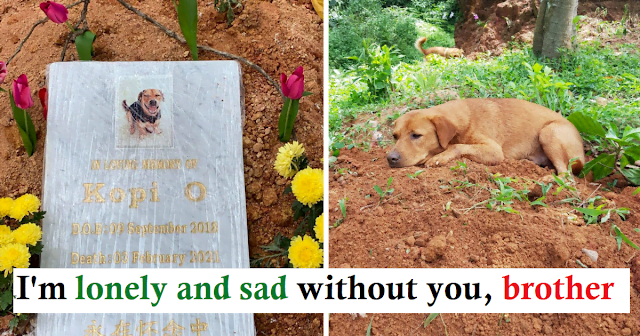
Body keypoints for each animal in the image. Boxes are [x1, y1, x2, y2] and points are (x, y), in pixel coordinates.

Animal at [388, 98, 588, 175]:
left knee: (566, 176)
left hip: (549, 132)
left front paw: (439, 158)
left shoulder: (494, 151)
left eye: (416, 135)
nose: (390, 158)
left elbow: (456, 146)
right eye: (395, 136)